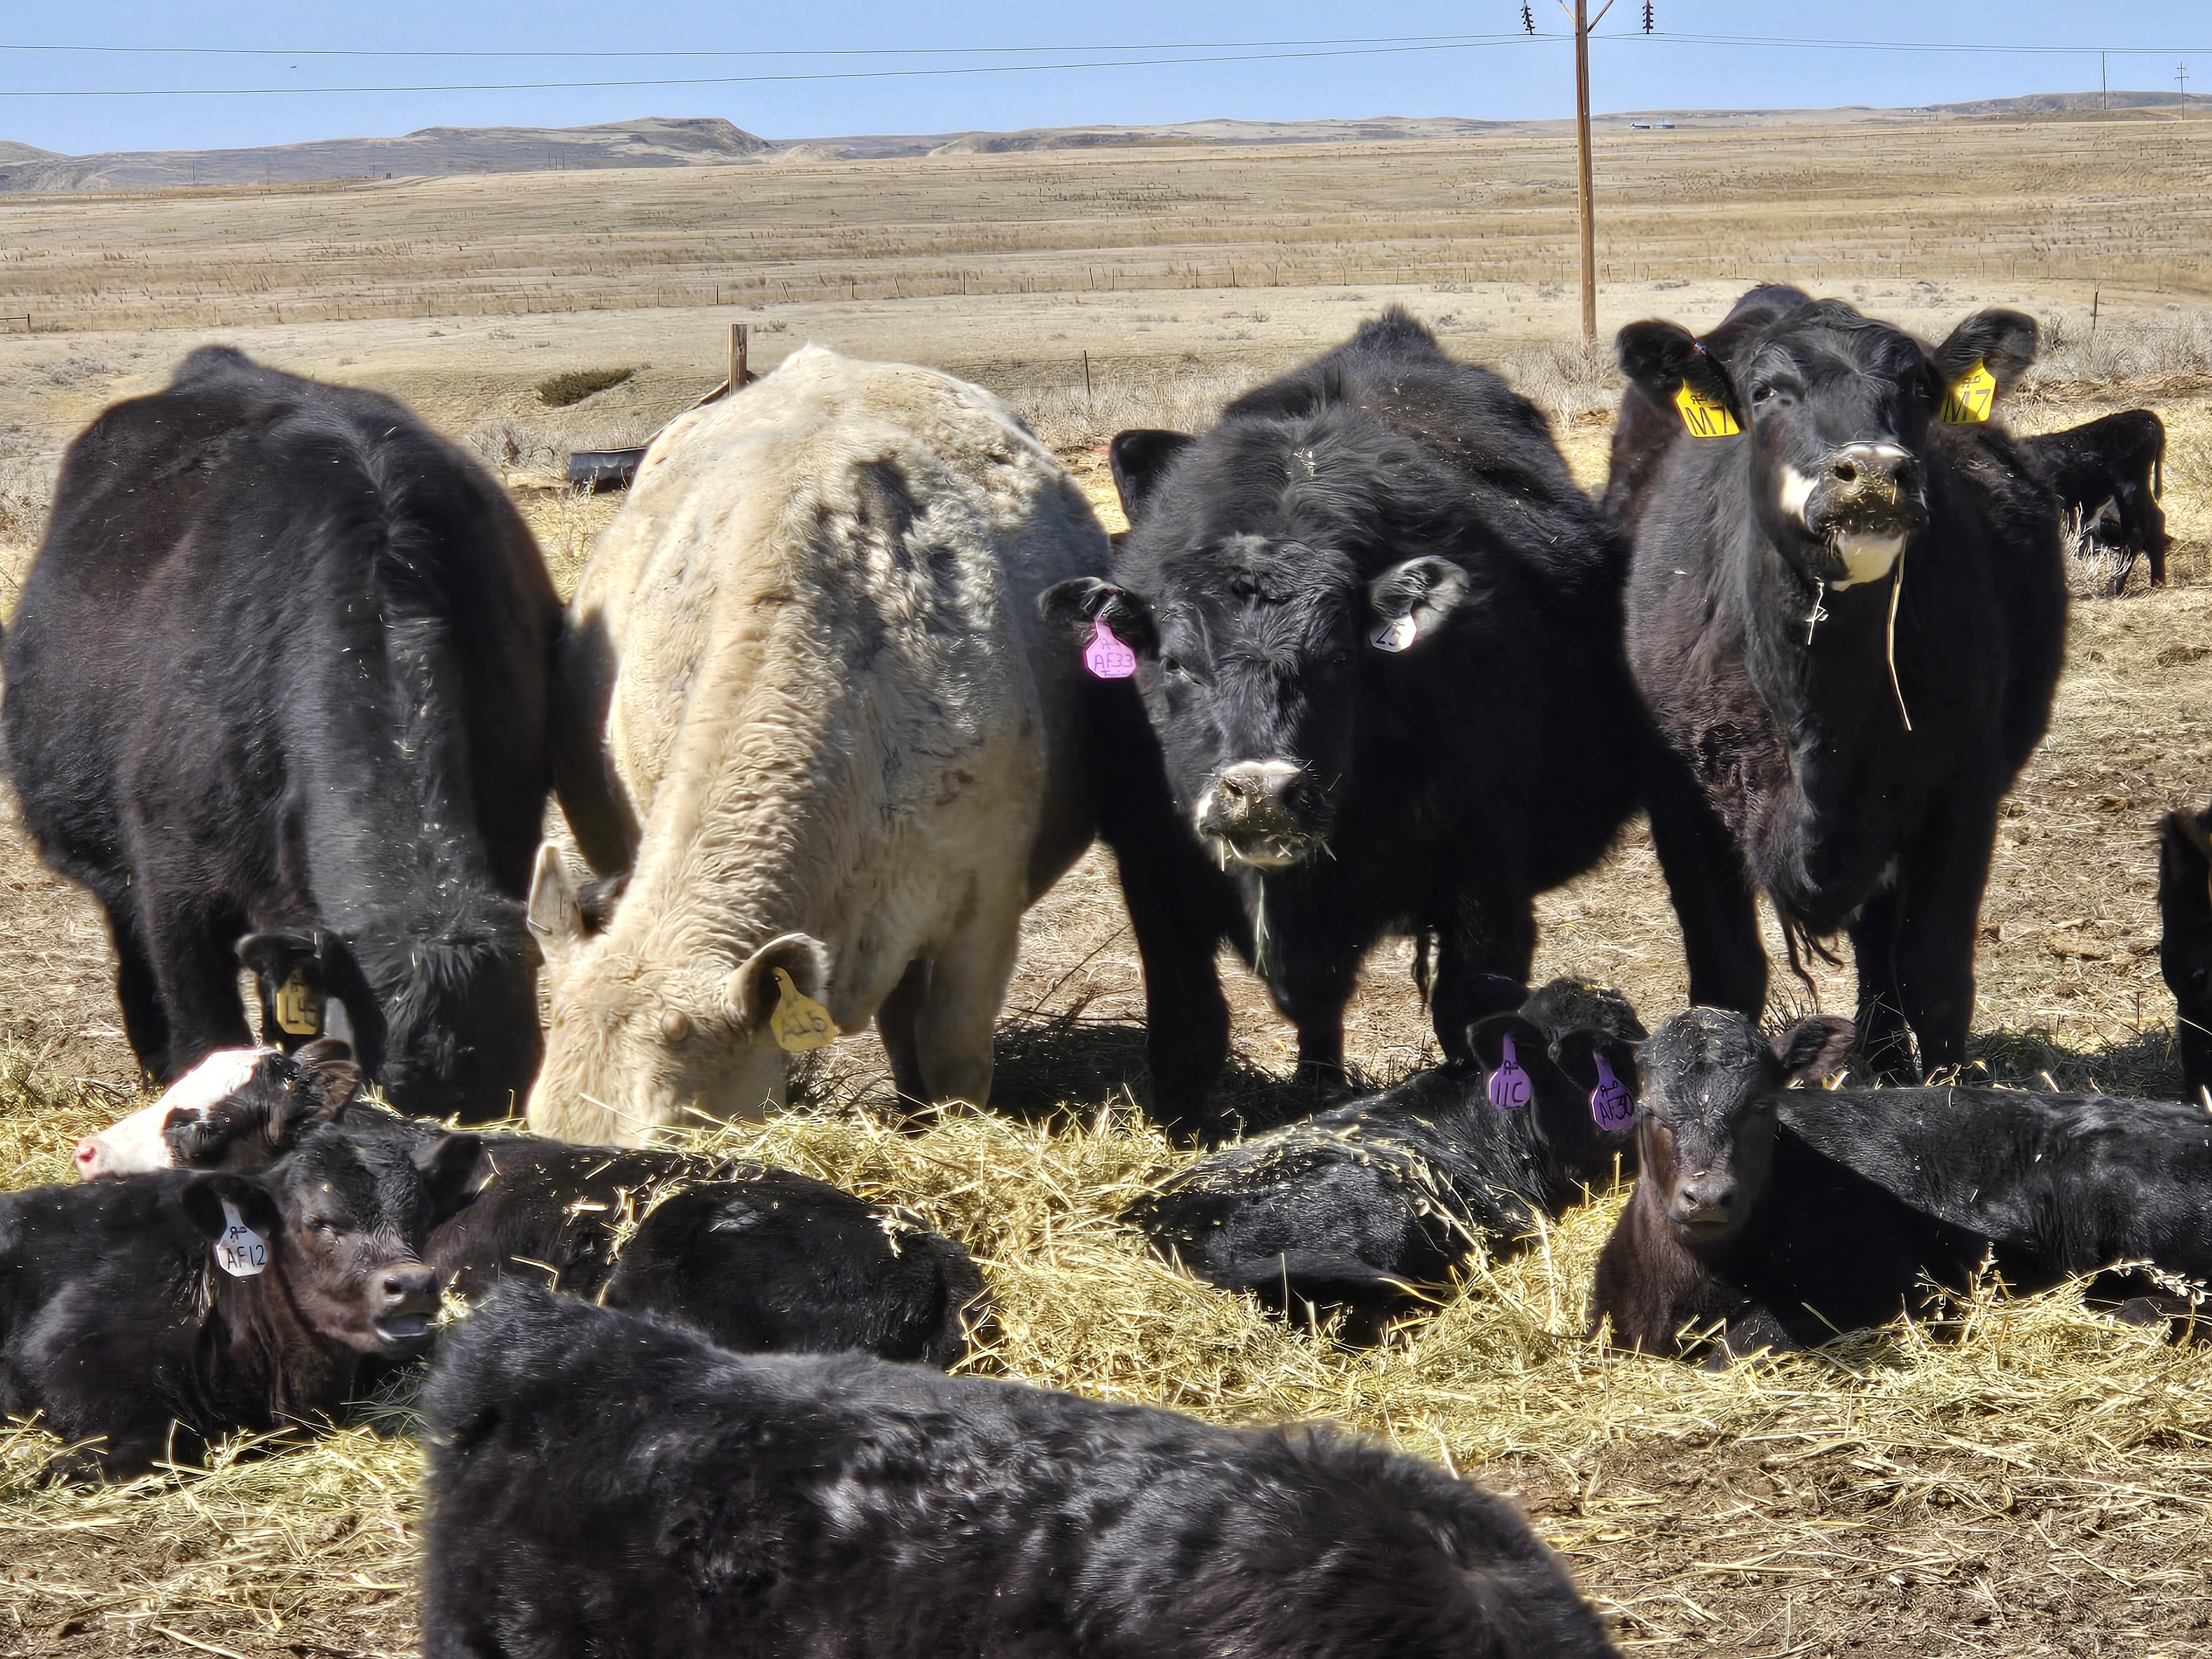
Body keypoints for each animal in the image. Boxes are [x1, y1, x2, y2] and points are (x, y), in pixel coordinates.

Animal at [2, 1119, 480, 1482]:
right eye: (319, 1222)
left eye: (420, 1215)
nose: (413, 1284)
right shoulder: (67, 1342)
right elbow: (156, 1441)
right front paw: (69, 1466)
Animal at [1042, 310, 1655, 1084]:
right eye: (1176, 664)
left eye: (1338, 658)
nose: (1263, 791)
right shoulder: (1153, 870)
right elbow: (1188, 1033)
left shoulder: (1485, 866)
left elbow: (1469, 1015)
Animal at [1611, 296, 2067, 1079]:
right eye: (1764, 391)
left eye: (1917, 385)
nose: (1875, 473)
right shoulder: (1677, 798)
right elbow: (1726, 974)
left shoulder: (1962, 787)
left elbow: (1935, 973)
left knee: (1881, 947)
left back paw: (1884, 1060)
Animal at [2021, 409, 2169, 594]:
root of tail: (2143, 415)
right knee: (2157, 520)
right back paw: (2158, 582)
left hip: (2129, 490)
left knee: (2136, 533)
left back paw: (2113, 587)